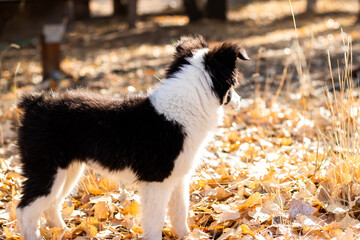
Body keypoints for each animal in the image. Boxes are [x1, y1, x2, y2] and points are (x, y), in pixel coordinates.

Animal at [15, 35, 249, 240]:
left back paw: (64, 232)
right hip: (47, 170)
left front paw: (188, 236)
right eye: (233, 86)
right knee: (26, 210)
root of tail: (34, 103)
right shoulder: (157, 181)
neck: (182, 107)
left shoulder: (179, 177)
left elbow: (180, 212)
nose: (240, 101)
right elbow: (155, 221)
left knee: (51, 204)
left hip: (68, 170)